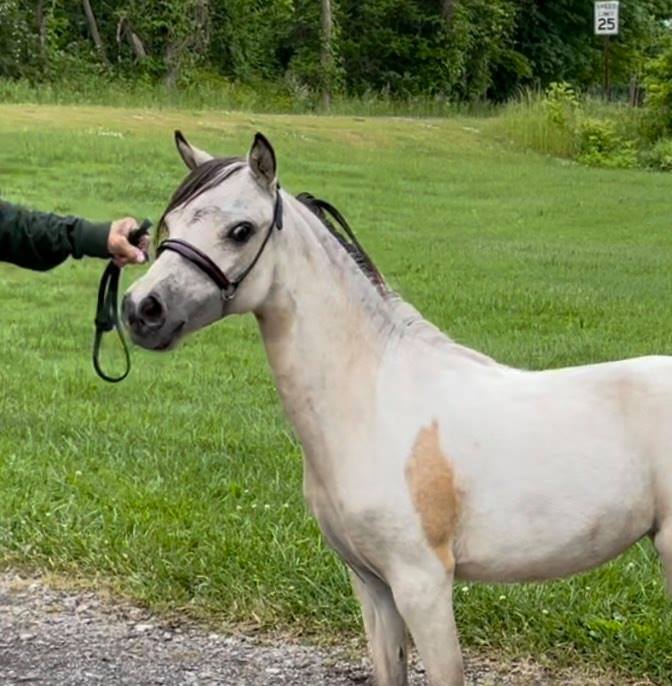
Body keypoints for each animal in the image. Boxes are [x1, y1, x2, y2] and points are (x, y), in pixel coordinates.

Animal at [123, 131, 672, 686]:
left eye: (241, 230)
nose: (142, 310)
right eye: (171, 223)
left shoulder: (421, 584)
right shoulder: (372, 584)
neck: (371, 400)